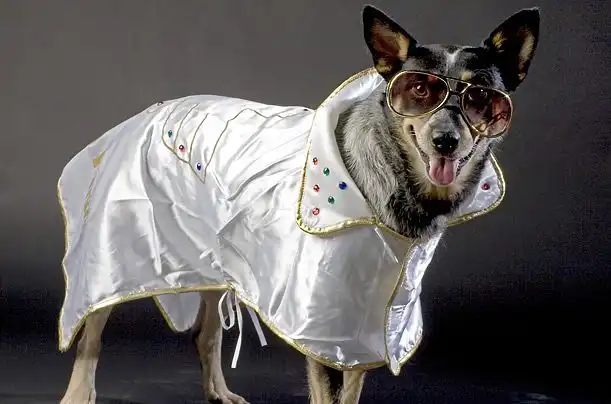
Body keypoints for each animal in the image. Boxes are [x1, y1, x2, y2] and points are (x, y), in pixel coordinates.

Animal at [59, 5, 539, 404]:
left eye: (482, 99)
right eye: (419, 89)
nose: (445, 139)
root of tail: (146, 113)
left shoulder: (363, 327)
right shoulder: (323, 326)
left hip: (212, 258)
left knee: (205, 334)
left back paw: (219, 393)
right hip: (112, 250)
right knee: (90, 332)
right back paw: (78, 393)